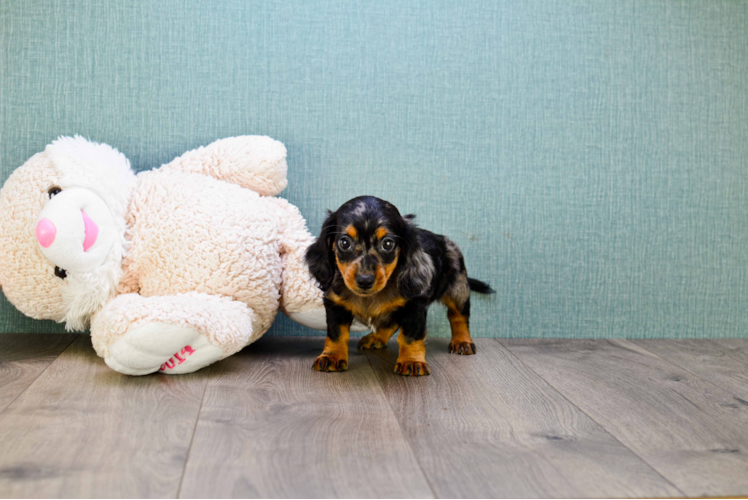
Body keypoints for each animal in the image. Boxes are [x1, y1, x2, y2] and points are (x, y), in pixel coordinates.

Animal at [304, 195, 490, 376]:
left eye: (387, 244)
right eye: (344, 242)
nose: (365, 280)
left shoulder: (414, 306)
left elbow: (409, 335)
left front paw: (411, 361)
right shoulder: (335, 305)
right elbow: (337, 334)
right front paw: (331, 356)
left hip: (457, 290)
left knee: (458, 317)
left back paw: (462, 341)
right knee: (391, 322)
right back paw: (377, 338)